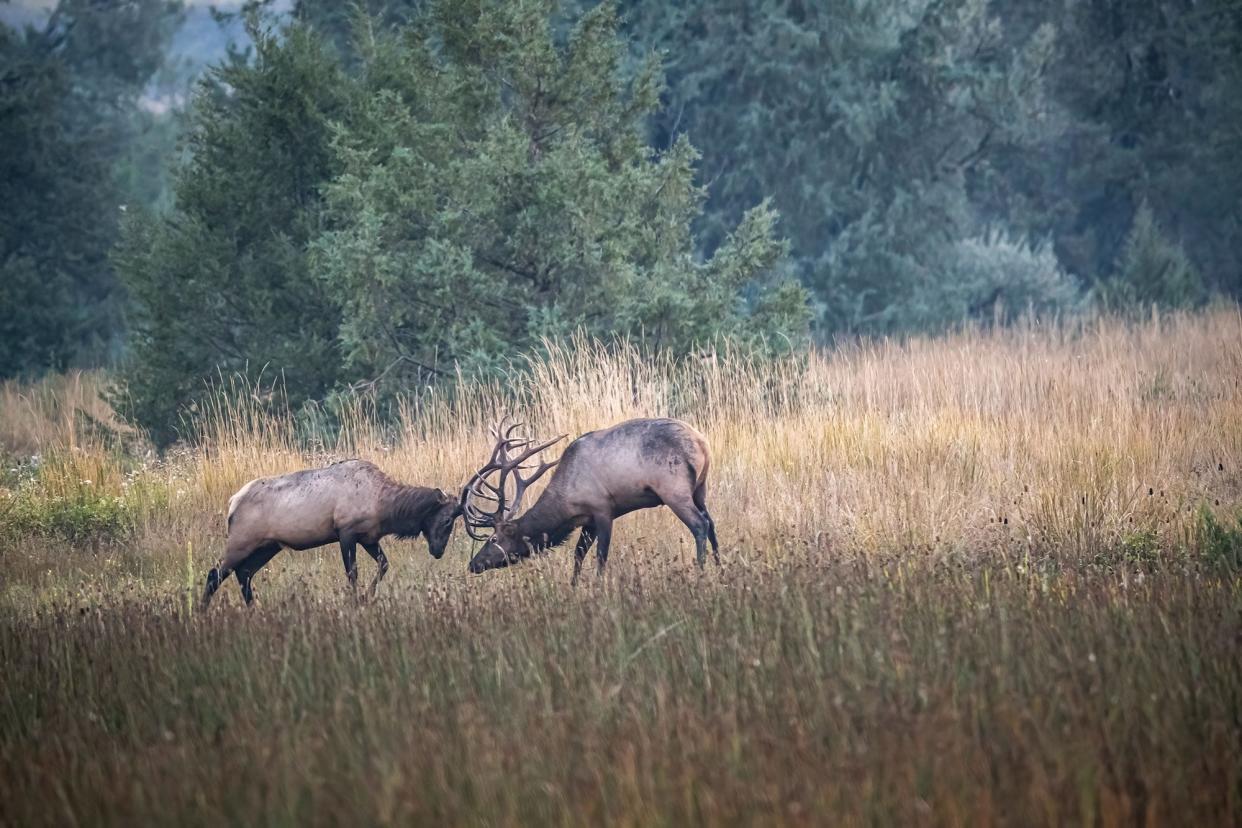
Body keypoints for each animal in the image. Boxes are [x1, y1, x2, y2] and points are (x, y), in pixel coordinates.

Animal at [198, 459, 462, 608]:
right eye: (447, 520)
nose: (438, 551)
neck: (384, 507)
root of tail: (231, 503)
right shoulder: (346, 531)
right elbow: (352, 573)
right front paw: (357, 601)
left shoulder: (368, 537)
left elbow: (384, 564)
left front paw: (366, 597)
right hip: (241, 541)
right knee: (214, 573)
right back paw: (202, 611)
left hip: (268, 546)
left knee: (243, 573)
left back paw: (254, 609)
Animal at [462, 414, 725, 583]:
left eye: (494, 538)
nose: (473, 564)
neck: (566, 504)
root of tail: (702, 443)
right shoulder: (587, 520)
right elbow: (578, 555)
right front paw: (574, 586)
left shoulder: (603, 510)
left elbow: (600, 557)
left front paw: (599, 586)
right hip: (700, 489)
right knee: (712, 524)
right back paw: (720, 568)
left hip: (674, 490)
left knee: (699, 524)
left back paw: (701, 572)